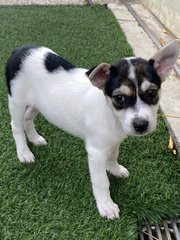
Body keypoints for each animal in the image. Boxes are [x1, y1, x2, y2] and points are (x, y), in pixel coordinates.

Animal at [5, 39, 180, 219]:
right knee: (16, 126)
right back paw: (24, 152)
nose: (141, 125)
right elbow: (101, 181)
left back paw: (34, 138)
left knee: (28, 118)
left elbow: (113, 156)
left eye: (152, 92)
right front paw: (106, 205)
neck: (111, 114)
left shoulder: (113, 141)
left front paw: (115, 169)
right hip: (17, 102)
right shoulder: (96, 152)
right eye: (119, 98)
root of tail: (20, 50)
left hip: (38, 103)